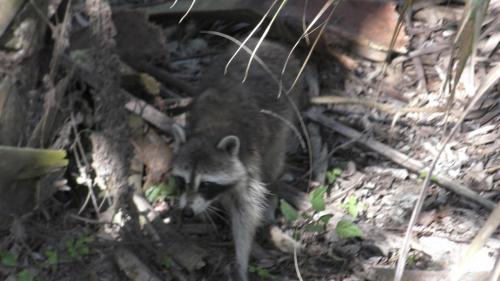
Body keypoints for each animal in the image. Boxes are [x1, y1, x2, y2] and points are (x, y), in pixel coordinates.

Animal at [171, 38, 304, 280]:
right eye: (182, 181)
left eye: (206, 184)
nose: (187, 213)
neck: (210, 131)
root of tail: (270, 44)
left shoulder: (248, 162)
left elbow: (246, 211)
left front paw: (242, 258)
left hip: (289, 105)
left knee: (274, 160)